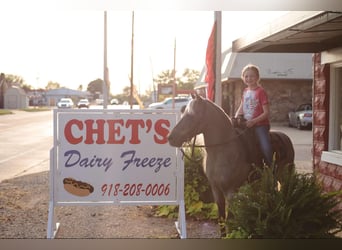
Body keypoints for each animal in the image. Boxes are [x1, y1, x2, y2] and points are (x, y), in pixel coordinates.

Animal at [168, 93, 294, 235]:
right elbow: (221, 219)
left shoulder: (231, 192)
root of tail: (286, 138)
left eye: (191, 115)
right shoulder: (216, 190)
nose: (171, 138)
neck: (222, 150)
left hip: (284, 177)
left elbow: (230, 219)